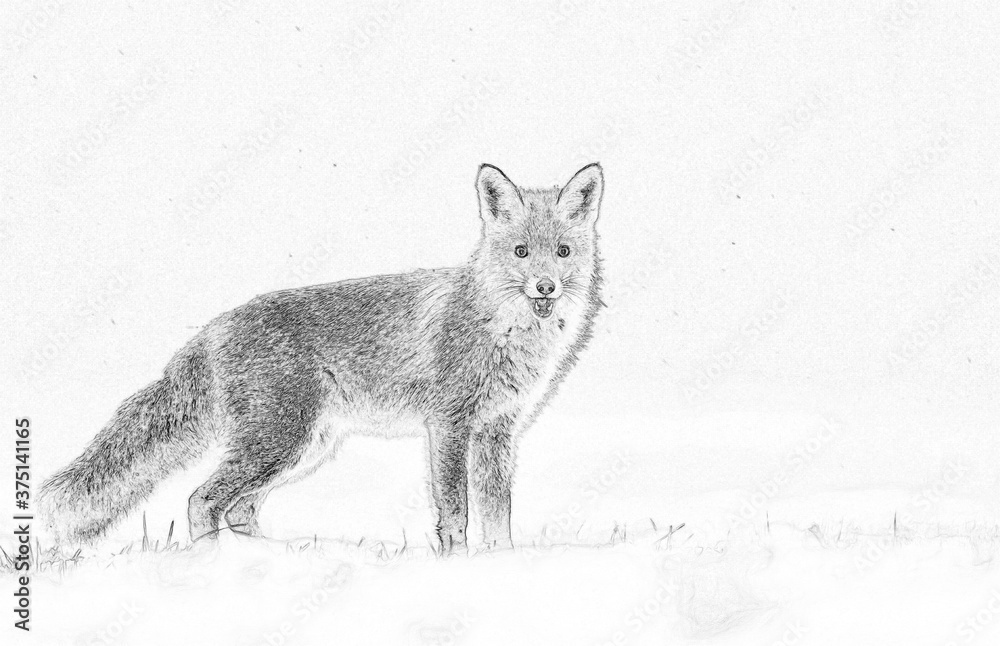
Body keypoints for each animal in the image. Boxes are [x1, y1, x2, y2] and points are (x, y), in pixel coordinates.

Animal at [39, 163, 605, 555]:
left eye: (562, 252)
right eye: (520, 253)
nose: (546, 287)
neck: (504, 332)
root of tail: (215, 325)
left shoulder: (497, 431)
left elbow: (497, 511)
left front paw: (500, 562)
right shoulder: (448, 424)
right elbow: (455, 510)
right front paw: (458, 563)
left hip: (302, 448)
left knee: (239, 508)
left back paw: (272, 557)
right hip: (278, 442)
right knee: (204, 499)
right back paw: (217, 565)